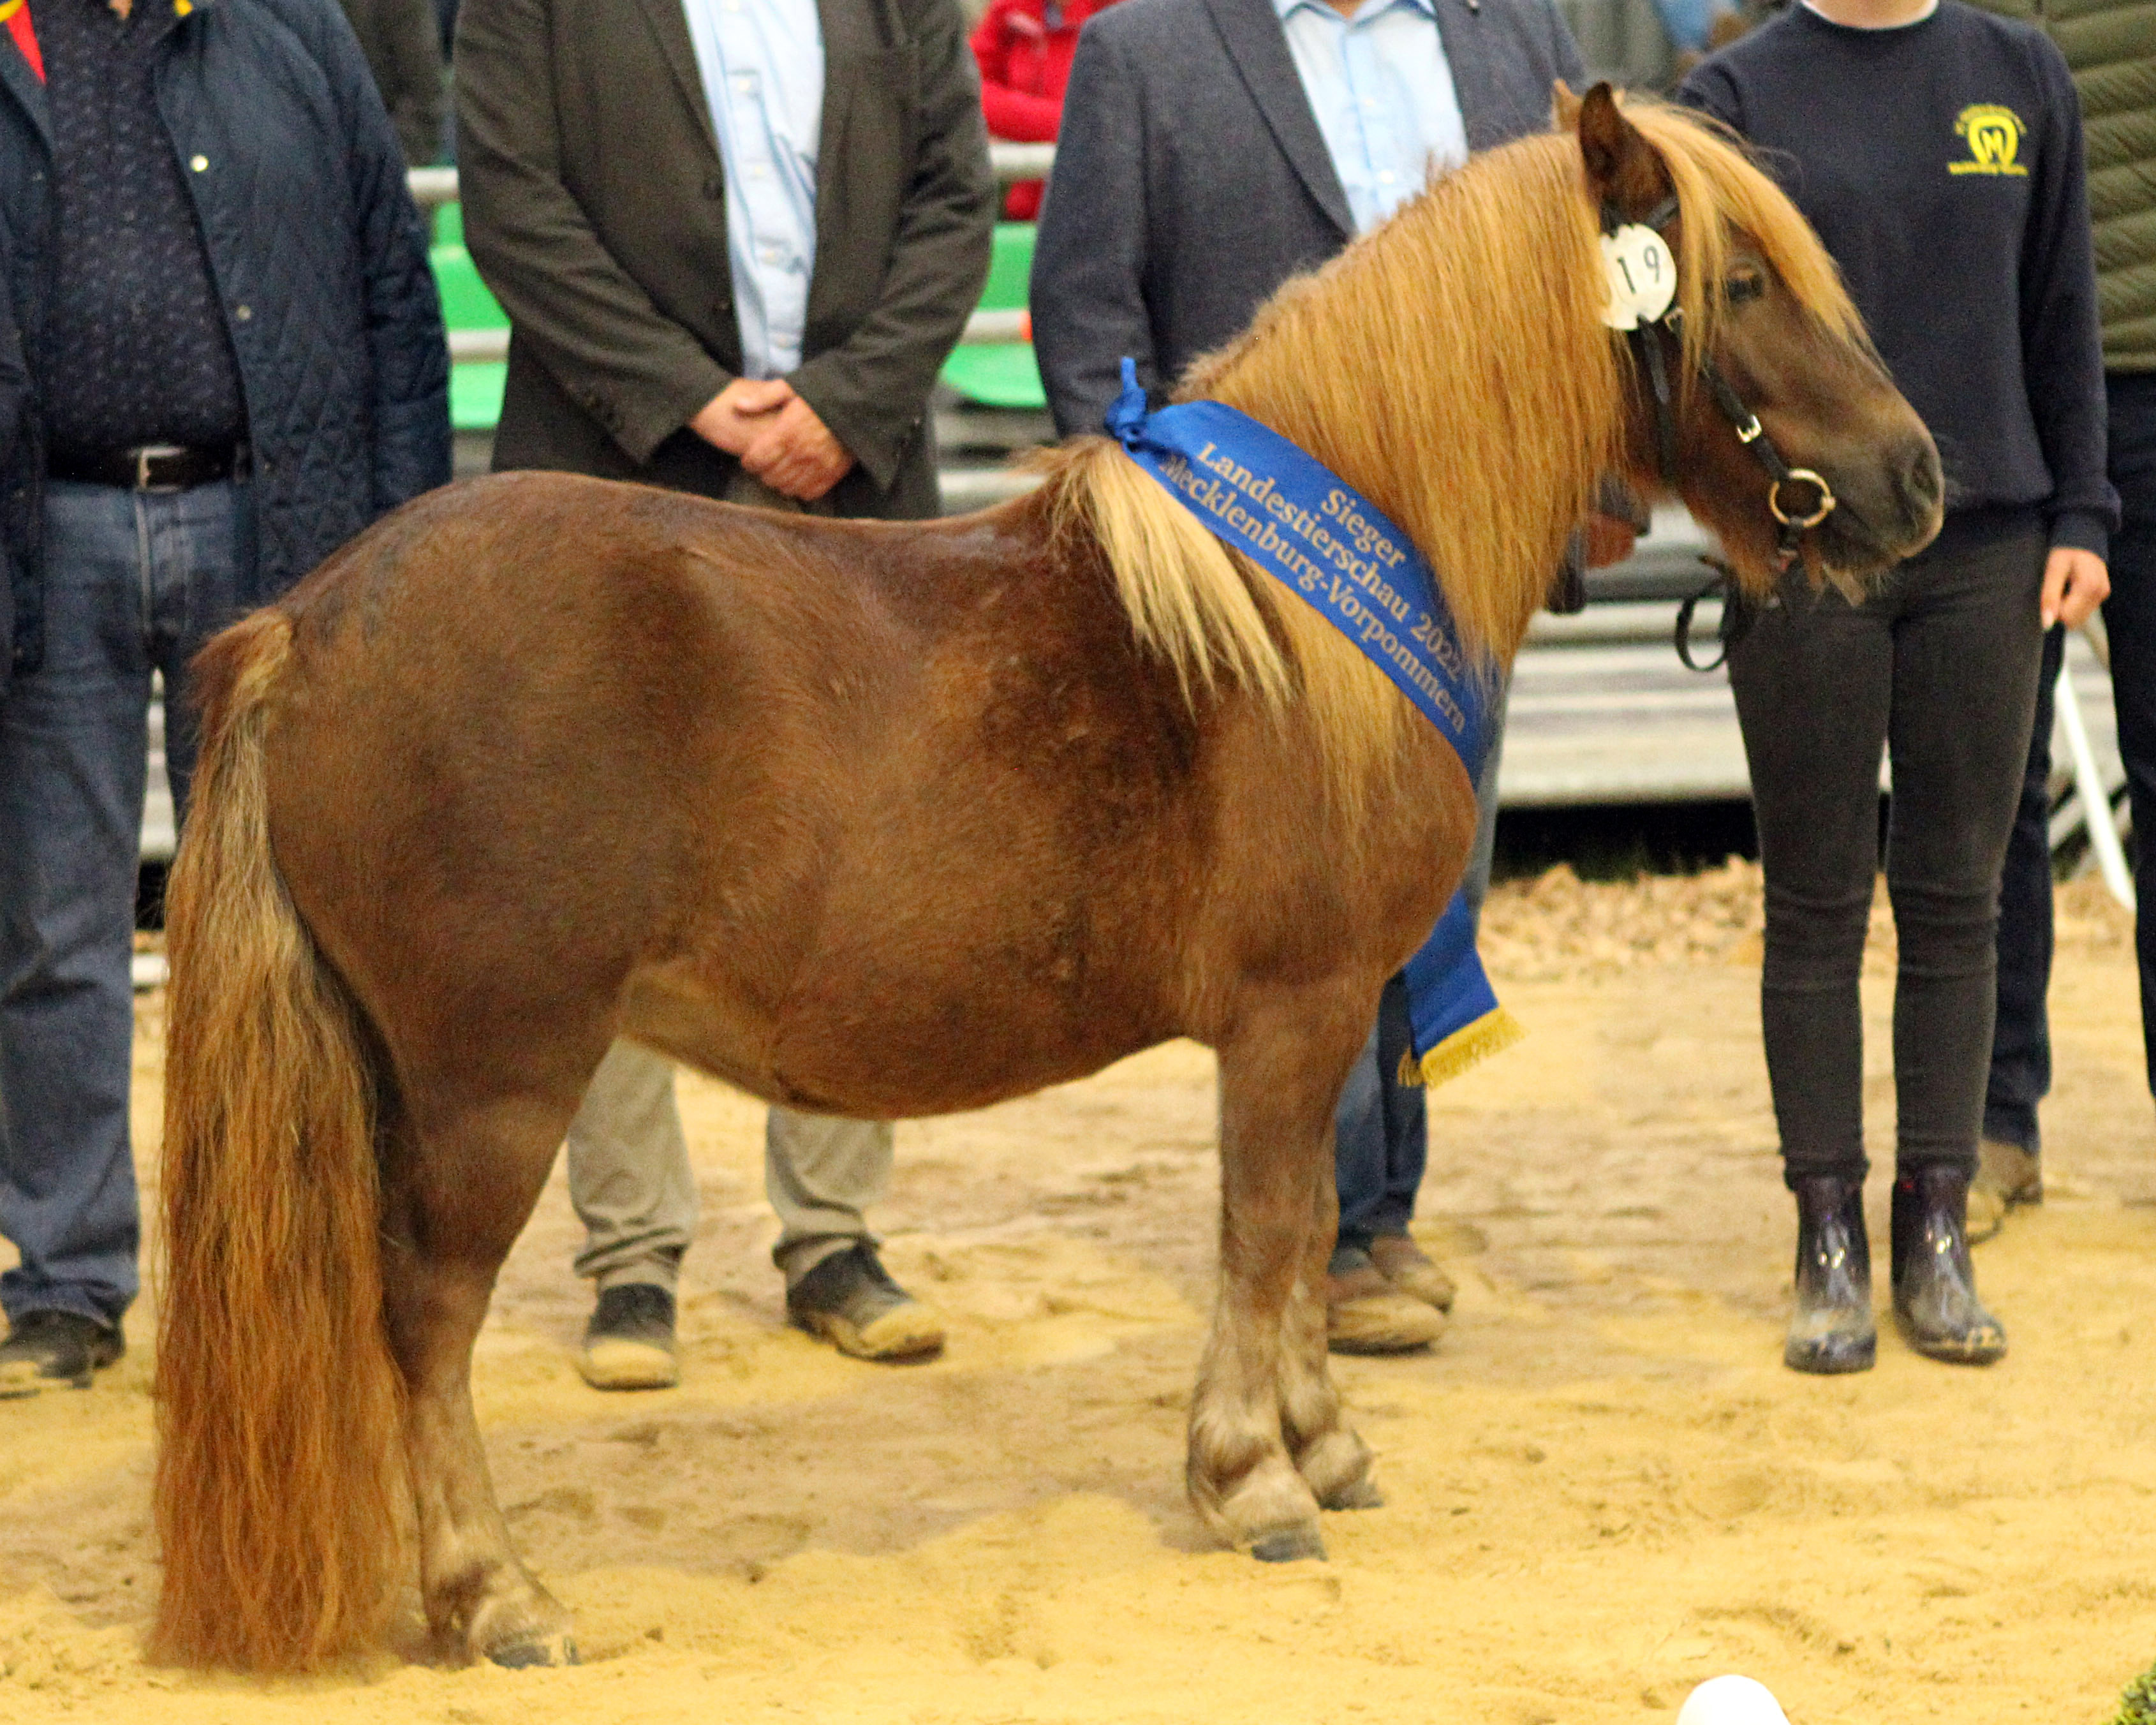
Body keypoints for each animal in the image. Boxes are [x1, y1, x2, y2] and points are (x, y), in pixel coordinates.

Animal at [147, 91, 1940, 1673]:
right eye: (1740, 282)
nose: (1915, 481)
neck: (1298, 615)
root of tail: (307, 626)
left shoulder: (1317, 1021)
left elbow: (1300, 1228)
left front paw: (1321, 1444)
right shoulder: (1291, 1012)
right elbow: (1264, 1226)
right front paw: (1255, 1478)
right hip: (495, 1080)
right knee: (424, 1318)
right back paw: (495, 1596)